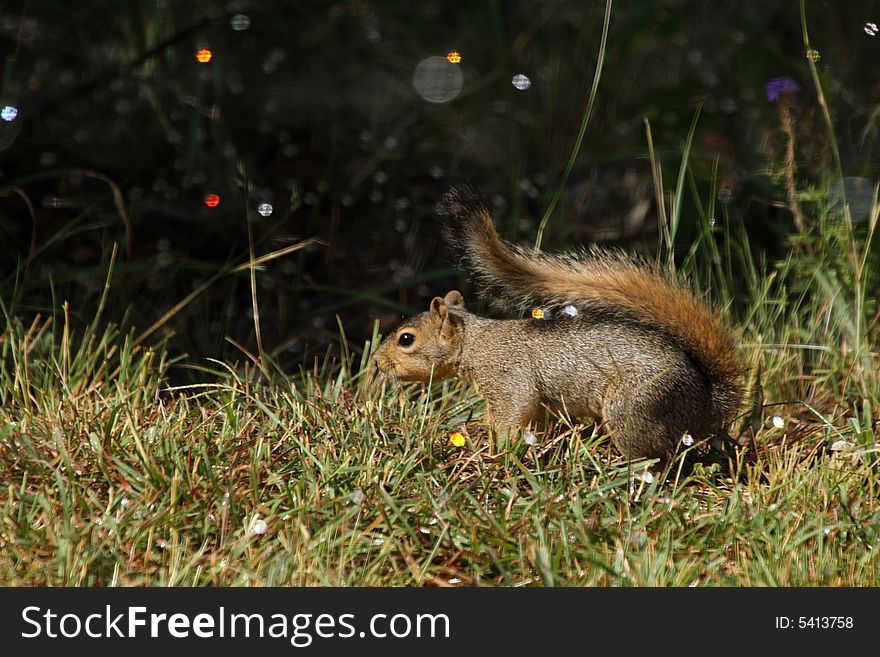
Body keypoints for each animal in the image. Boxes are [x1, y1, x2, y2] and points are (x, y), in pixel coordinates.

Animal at [372, 187, 744, 468]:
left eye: (406, 339)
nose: (376, 362)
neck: (476, 344)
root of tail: (706, 404)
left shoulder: (508, 378)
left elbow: (513, 411)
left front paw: (498, 452)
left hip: (636, 407)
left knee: (658, 456)